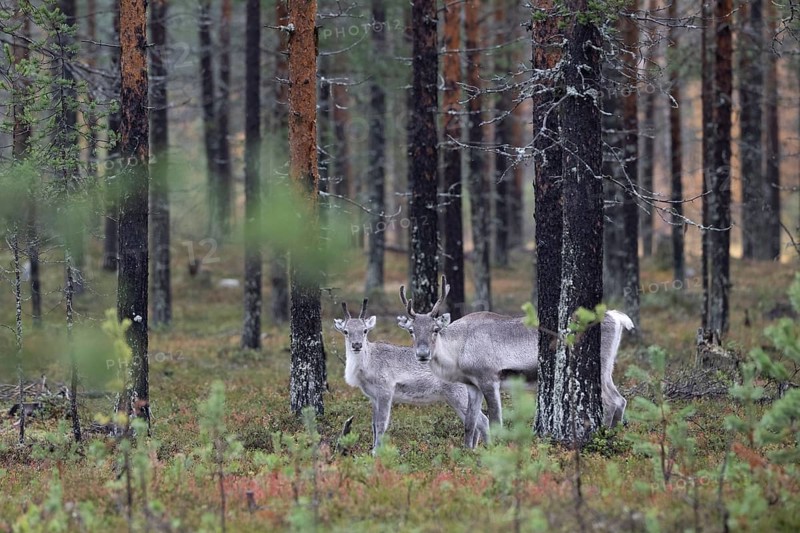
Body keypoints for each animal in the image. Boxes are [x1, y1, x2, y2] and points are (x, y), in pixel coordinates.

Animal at [333, 298, 490, 451]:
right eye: (345, 331)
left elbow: (381, 424)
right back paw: (472, 450)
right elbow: (373, 425)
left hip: (459, 395)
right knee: (474, 422)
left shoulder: (385, 391)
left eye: (365, 330)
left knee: (483, 420)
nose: (357, 345)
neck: (367, 365)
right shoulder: (373, 397)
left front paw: (376, 452)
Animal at [397, 276, 633, 448]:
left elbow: (495, 421)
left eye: (435, 329)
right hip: (608, 369)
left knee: (613, 401)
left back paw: (605, 437)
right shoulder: (473, 385)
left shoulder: (489, 379)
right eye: (412, 331)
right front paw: (468, 452)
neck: (459, 351)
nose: (422, 353)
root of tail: (617, 317)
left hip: (599, 369)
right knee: (620, 400)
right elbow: (470, 423)